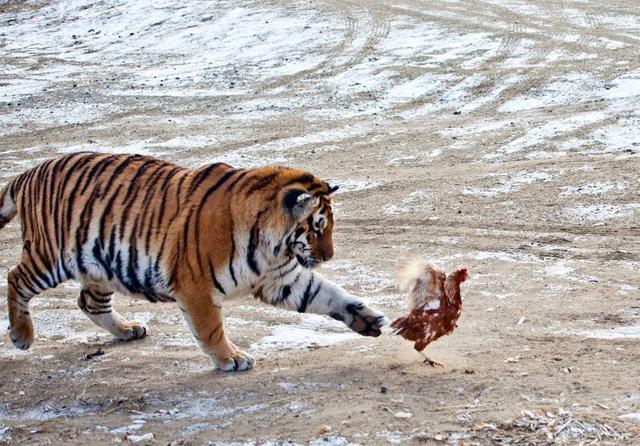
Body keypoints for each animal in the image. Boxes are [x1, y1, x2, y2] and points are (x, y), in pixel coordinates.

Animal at [0, 152, 388, 372]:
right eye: (318, 227)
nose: (329, 255)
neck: (272, 246)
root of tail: (25, 174)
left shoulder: (282, 279)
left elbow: (328, 294)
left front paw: (368, 319)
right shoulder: (196, 286)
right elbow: (212, 328)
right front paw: (231, 359)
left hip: (100, 263)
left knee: (89, 302)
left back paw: (127, 330)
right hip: (51, 256)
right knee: (15, 276)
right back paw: (22, 336)